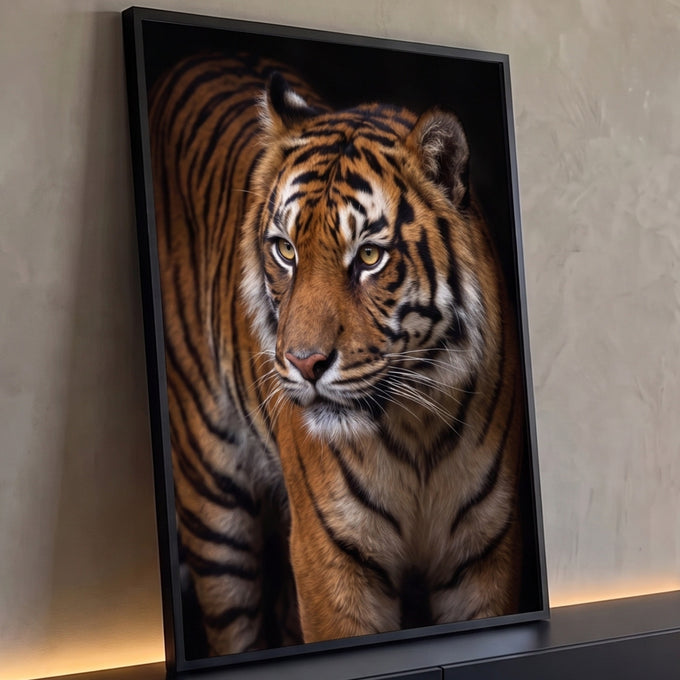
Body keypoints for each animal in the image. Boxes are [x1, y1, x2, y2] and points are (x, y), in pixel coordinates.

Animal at [148, 53, 525, 657]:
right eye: (286, 251)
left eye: (369, 257)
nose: (304, 363)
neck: (418, 430)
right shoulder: (330, 562)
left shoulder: (486, 552)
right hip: (212, 504)